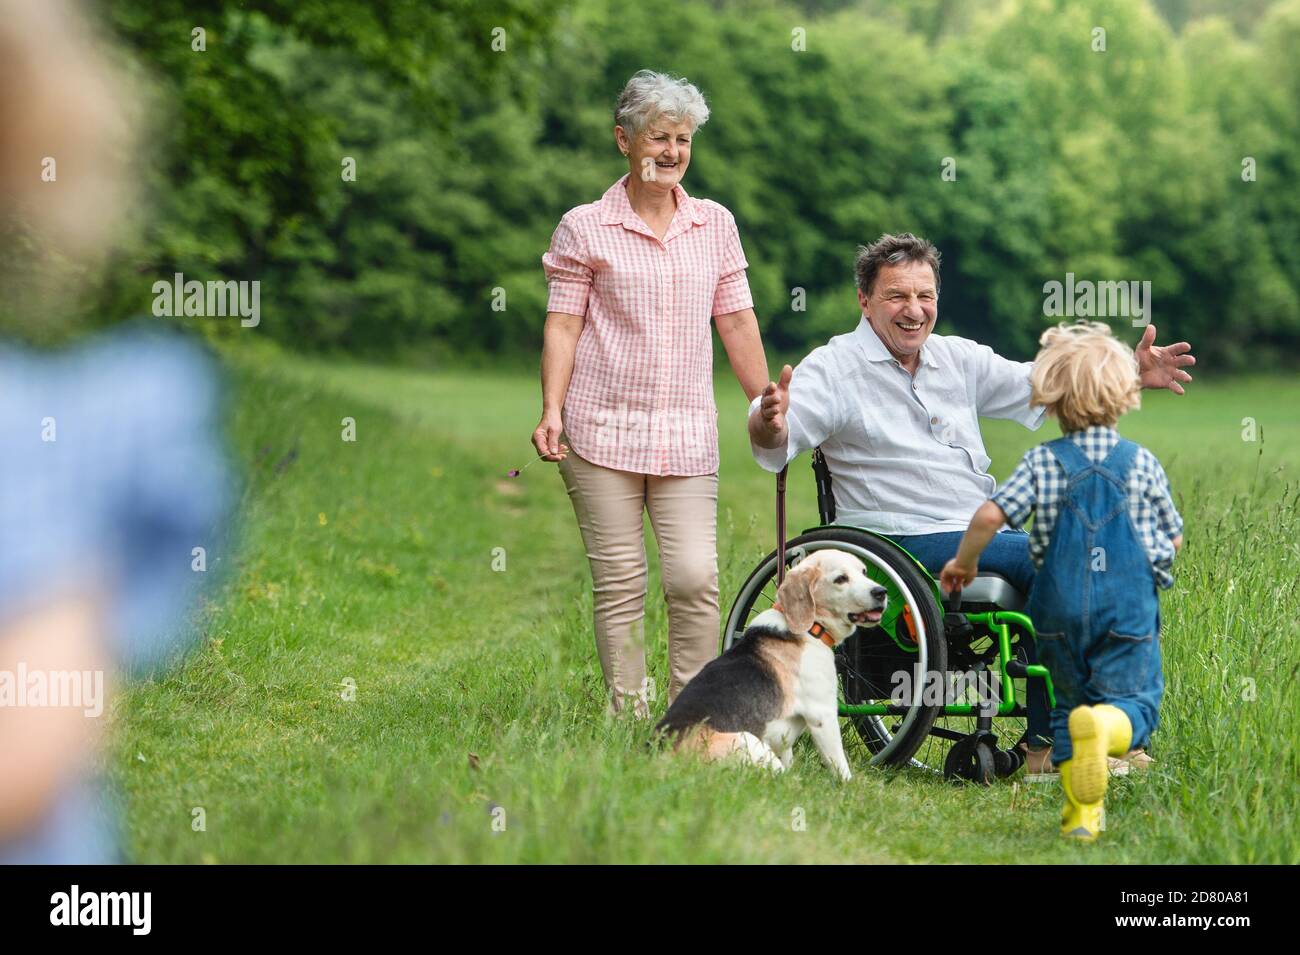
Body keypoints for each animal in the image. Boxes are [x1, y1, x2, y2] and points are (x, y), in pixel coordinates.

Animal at [655, 548, 889, 779]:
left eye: (864, 571)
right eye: (841, 579)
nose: (881, 591)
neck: (812, 628)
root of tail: (661, 754)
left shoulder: (785, 743)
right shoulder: (822, 715)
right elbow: (840, 767)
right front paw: (848, 785)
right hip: (750, 741)